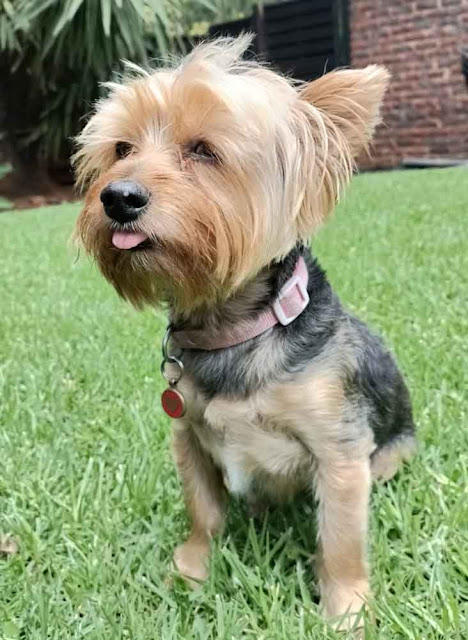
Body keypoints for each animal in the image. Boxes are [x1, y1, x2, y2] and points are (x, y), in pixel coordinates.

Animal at [74, 35, 416, 632]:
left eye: (204, 150)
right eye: (120, 148)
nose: (117, 196)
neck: (232, 331)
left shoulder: (341, 452)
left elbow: (340, 541)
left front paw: (346, 609)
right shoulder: (188, 438)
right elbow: (203, 512)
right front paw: (190, 572)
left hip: (394, 452)